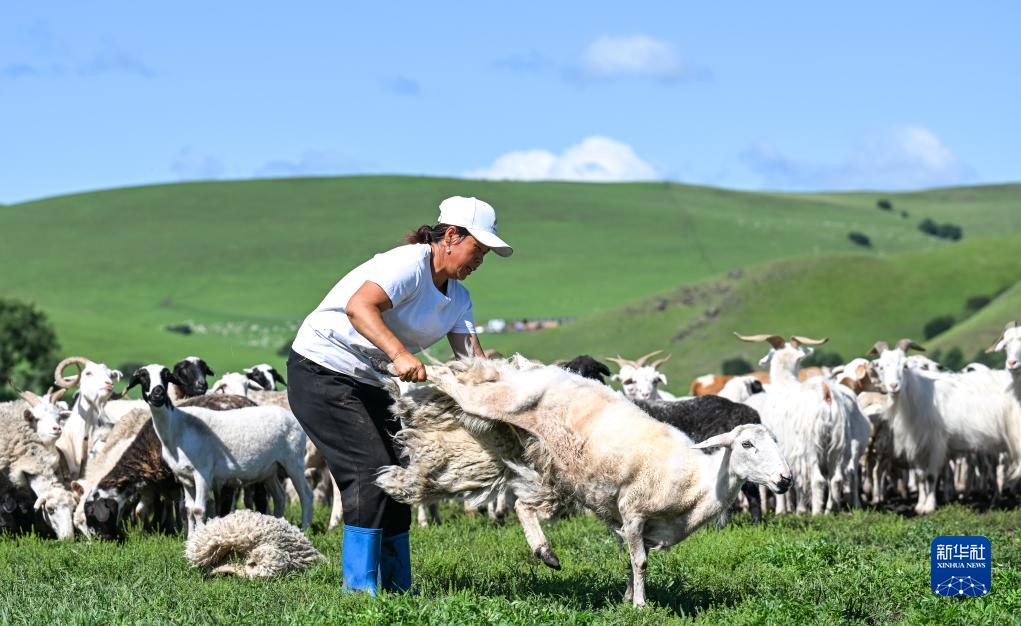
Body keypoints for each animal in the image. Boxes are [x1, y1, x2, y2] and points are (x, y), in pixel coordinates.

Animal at [123, 365, 308, 531]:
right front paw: (190, 539)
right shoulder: (185, 478)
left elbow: (199, 510)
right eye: (142, 377)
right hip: (270, 469)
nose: (158, 393)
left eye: (166, 376)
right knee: (280, 497)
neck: (177, 425)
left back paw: (303, 529)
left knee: (306, 495)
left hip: (294, 461)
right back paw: (280, 525)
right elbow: (188, 510)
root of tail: (291, 416)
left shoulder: (203, 473)